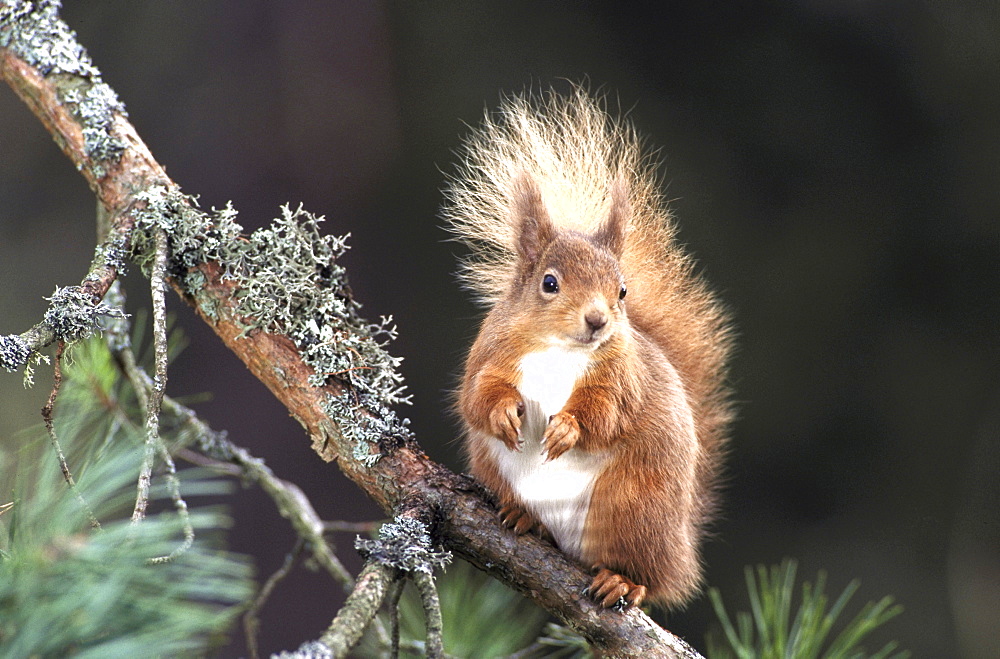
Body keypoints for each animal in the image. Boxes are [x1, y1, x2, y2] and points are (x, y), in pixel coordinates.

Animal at [446, 86, 736, 608]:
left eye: (622, 291)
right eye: (549, 283)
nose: (598, 320)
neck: (559, 348)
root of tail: (681, 543)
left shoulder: (622, 377)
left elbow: (607, 412)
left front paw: (568, 429)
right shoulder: (489, 355)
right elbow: (476, 397)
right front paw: (503, 413)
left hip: (634, 509)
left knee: (649, 574)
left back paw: (623, 580)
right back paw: (526, 519)